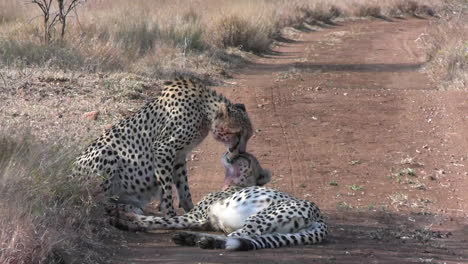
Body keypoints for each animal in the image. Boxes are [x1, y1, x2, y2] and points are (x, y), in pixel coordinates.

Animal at [74, 77, 252, 217]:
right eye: (238, 135)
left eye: (248, 136)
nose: (241, 152)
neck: (203, 109)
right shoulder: (163, 148)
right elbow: (166, 187)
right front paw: (170, 214)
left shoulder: (179, 155)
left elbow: (184, 187)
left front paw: (190, 209)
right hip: (106, 152)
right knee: (97, 202)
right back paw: (124, 208)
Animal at [111, 152, 328, 251]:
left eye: (244, 158)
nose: (229, 154)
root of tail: (320, 215)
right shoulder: (204, 221)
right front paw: (127, 213)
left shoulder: (195, 216)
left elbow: (160, 220)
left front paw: (124, 217)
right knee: (248, 237)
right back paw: (194, 239)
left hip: (261, 216)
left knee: (241, 235)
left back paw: (198, 239)